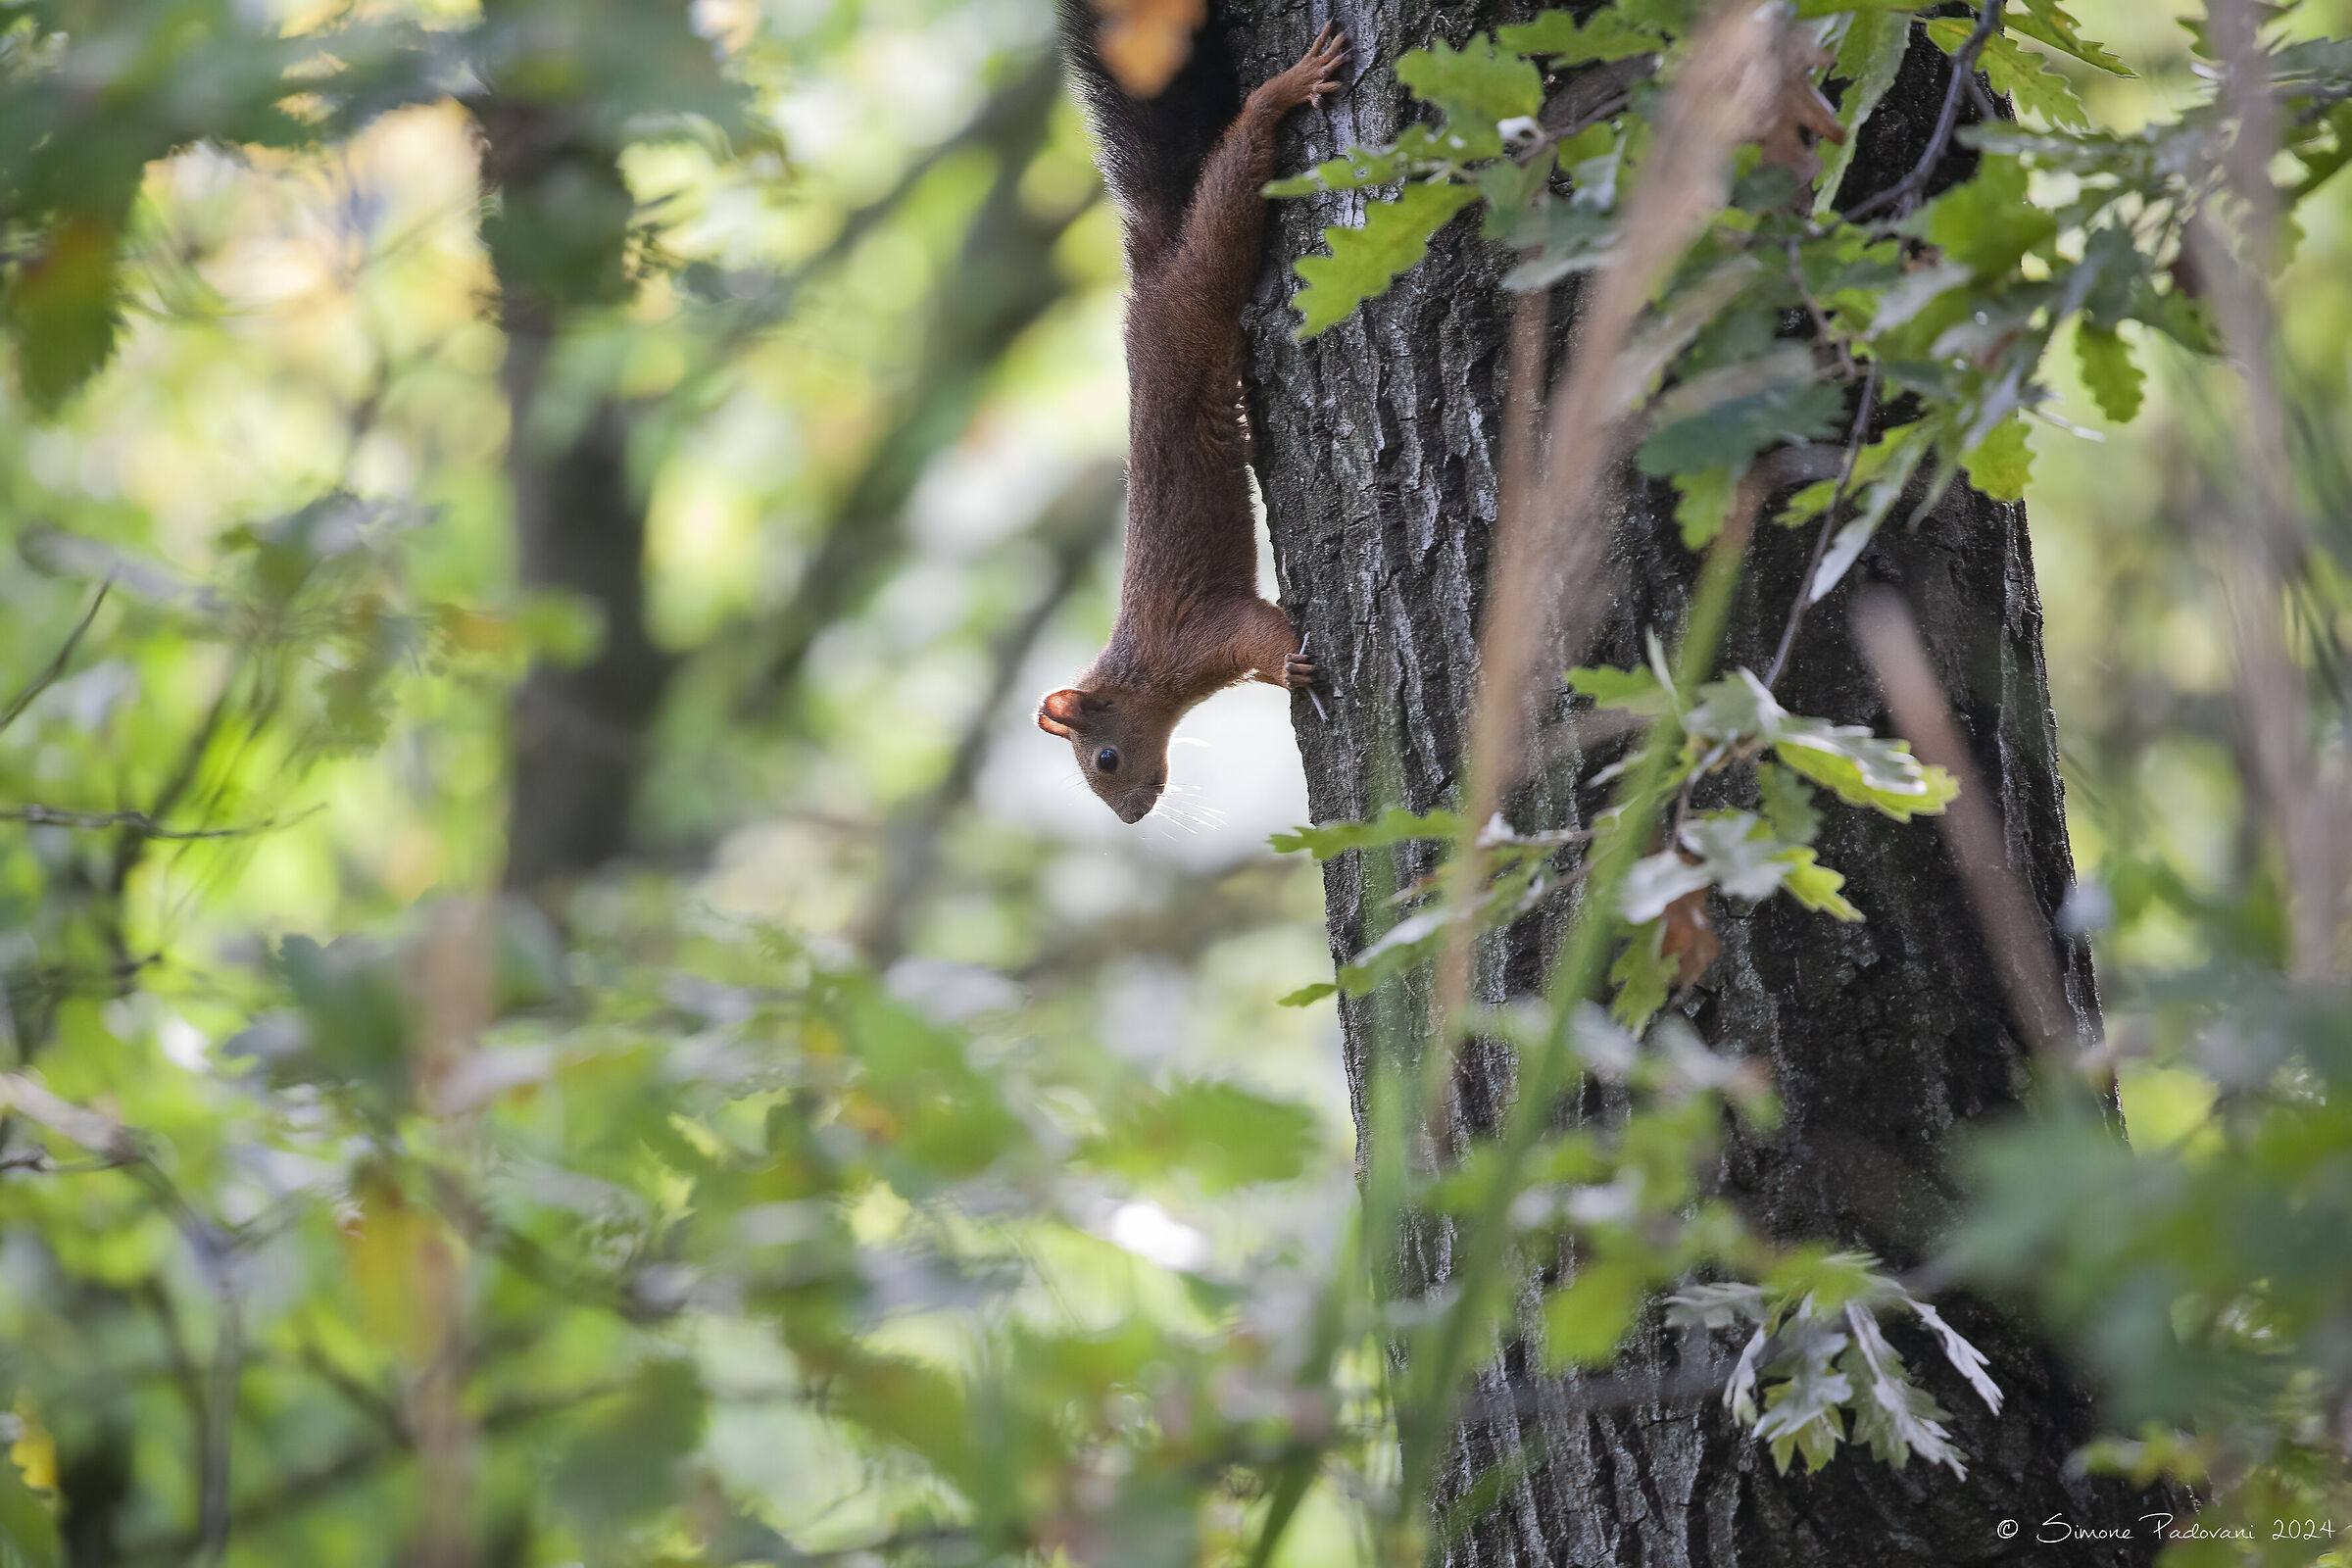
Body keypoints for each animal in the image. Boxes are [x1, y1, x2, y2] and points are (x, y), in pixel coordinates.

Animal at [1038, 7, 1347, 823]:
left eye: (1105, 759)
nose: (1131, 816)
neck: (1145, 670)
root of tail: (1146, 285)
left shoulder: (1201, 634)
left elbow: (1262, 630)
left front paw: (1293, 667)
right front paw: (1290, 675)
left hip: (1200, 287)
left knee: (1229, 190)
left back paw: (1281, 93)